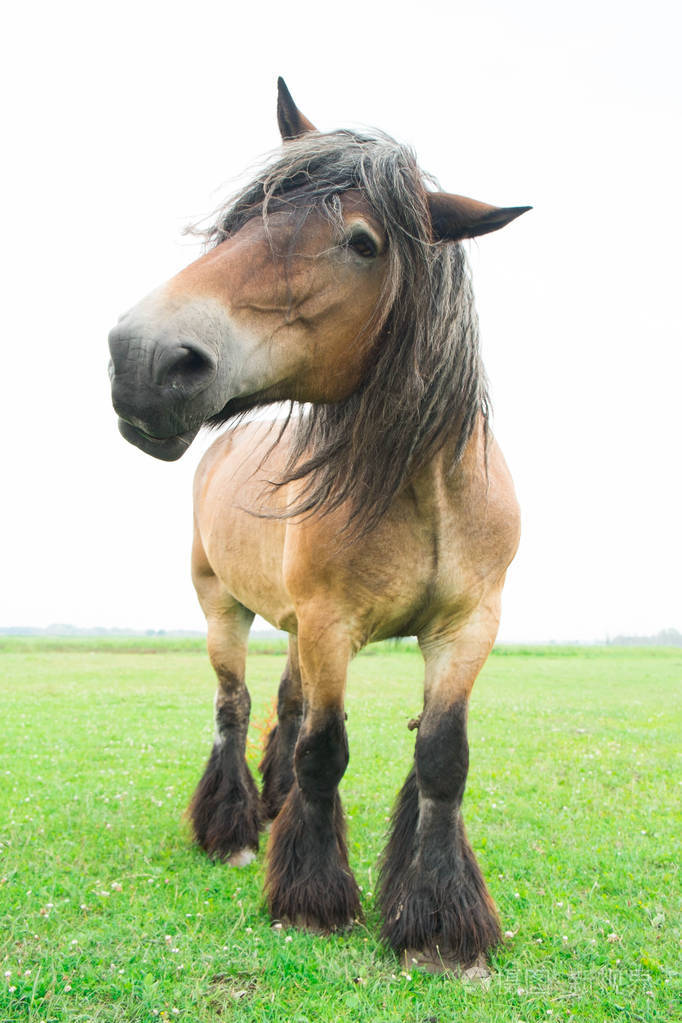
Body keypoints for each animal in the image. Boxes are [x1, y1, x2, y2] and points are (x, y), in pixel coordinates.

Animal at [107, 75, 531, 969]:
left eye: (363, 243)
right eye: (238, 221)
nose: (143, 358)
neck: (421, 485)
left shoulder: (468, 626)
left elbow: (441, 758)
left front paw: (437, 922)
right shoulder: (332, 623)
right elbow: (325, 750)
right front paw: (311, 896)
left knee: (285, 705)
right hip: (224, 609)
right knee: (235, 705)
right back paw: (235, 828)